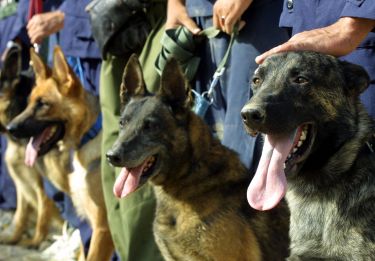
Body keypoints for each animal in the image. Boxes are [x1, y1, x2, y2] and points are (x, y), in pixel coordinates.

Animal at [0, 45, 62, 247]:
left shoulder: (42, 184)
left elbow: (43, 210)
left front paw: (35, 241)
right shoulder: (21, 182)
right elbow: (20, 214)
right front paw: (14, 237)